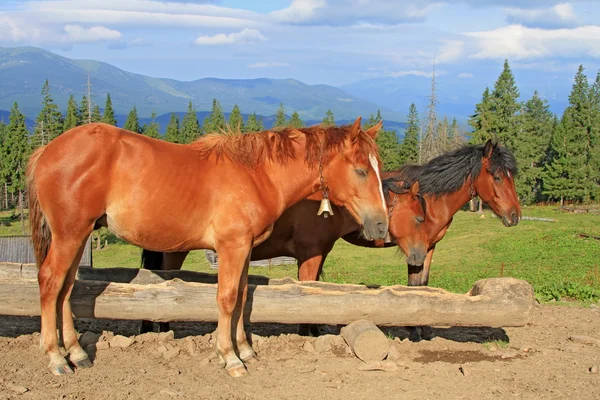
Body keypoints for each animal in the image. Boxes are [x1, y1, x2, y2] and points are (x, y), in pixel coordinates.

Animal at [27, 117, 390, 376]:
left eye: (379, 168)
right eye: (361, 170)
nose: (381, 225)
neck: (256, 175)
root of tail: (48, 150)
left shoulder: (245, 249)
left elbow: (242, 296)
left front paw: (246, 350)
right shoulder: (232, 247)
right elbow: (227, 299)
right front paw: (230, 358)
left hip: (78, 234)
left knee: (67, 286)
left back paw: (77, 353)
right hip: (70, 234)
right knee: (50, 281)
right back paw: (56, 358)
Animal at [138, 175, 428, 334]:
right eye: (419, 218)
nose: (420, 257)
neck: (328, 208)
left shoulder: (318, 256)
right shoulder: (310, 255)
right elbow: (307, 290)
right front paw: (306, 331)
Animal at [342, 140, 520, 340]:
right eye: (497, 177)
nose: (515, 215)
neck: (430, 200)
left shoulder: (428, 247)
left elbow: (423, 284)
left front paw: (425, 327)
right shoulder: (414, 249)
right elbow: (413, 286)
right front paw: (413, 329)